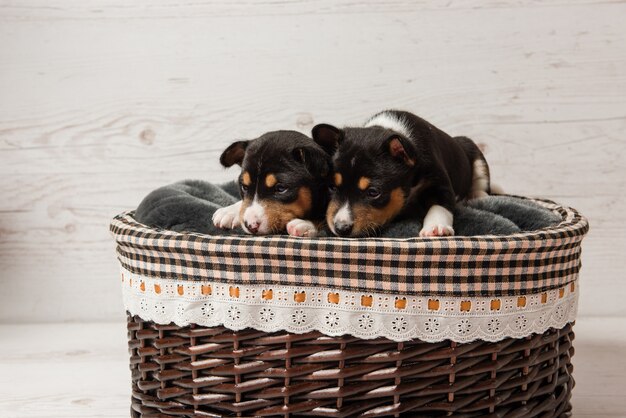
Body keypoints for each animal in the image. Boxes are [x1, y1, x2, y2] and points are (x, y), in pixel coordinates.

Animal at [310, 109, 490, 237]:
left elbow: (440, 205)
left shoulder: (439, 181)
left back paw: (479, 196)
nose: (341, 228)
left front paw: (435, 227)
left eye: (373, 192)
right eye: (332, 187)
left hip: (476, 156)